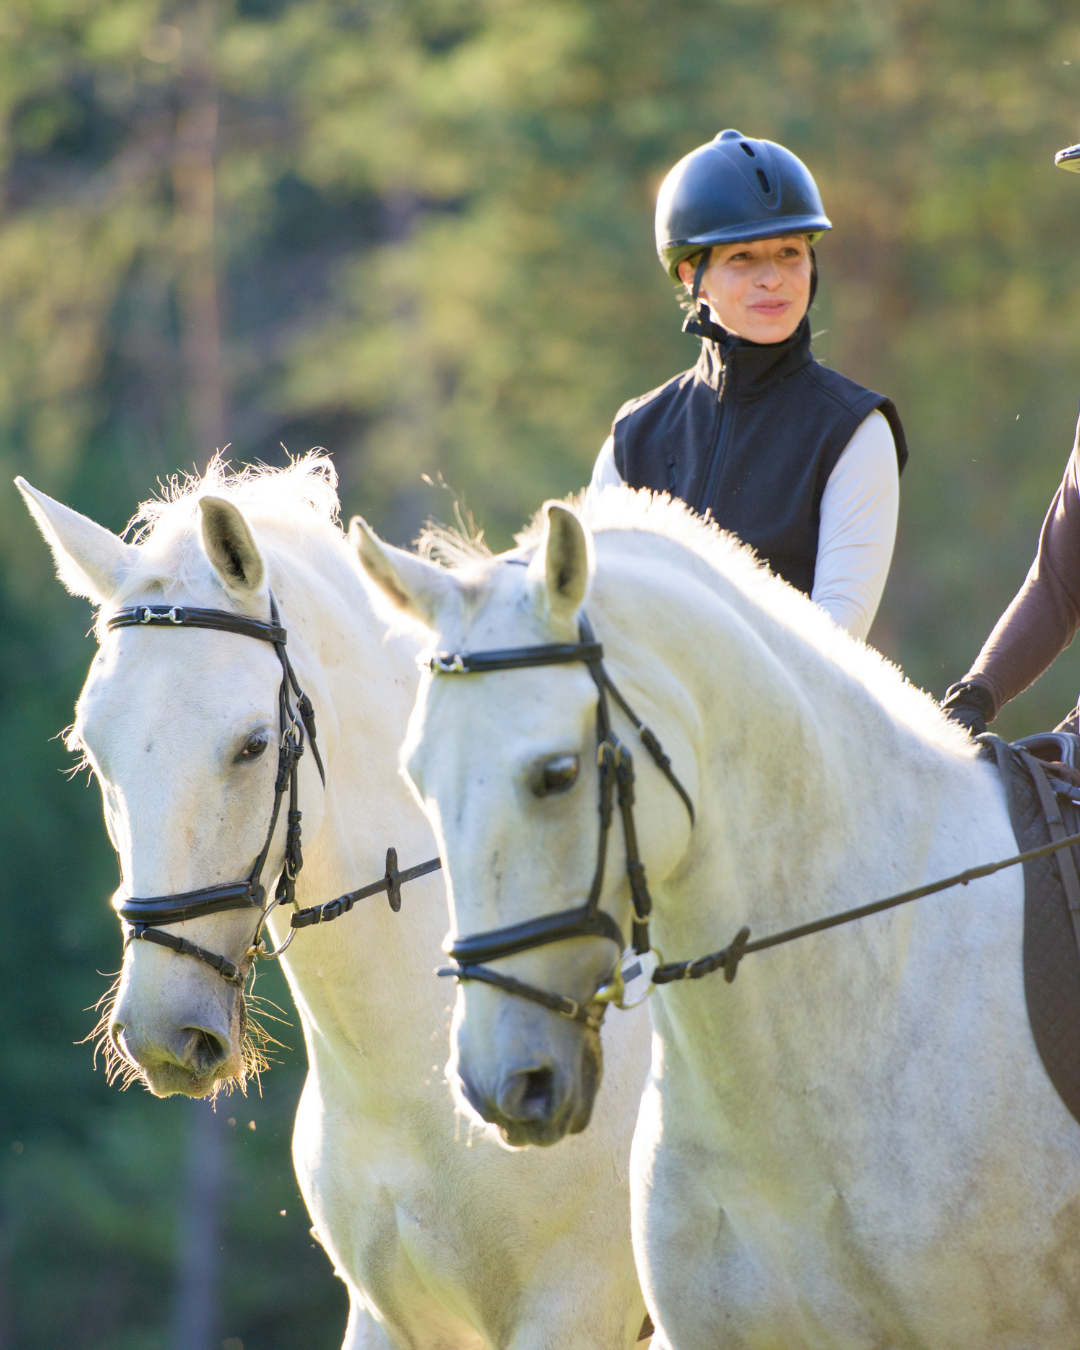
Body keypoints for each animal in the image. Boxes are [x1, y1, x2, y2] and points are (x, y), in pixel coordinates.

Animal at [16, 458, 653, 1350]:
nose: (160, 1033)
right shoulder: (384, 1317)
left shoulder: (571, 1313)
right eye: (89, 748)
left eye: (253, 745)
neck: (408, 1081)